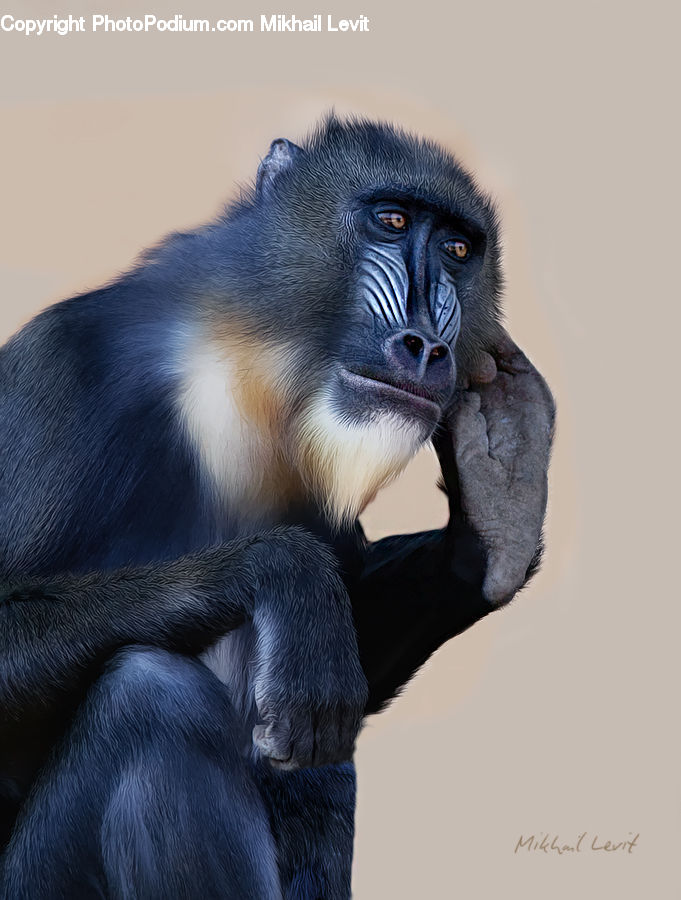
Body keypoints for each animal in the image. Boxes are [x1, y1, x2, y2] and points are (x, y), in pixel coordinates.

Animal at [0, 116, 555, 899]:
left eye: (455, 250)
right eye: (391, 222)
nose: (425, 345)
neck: (241, 370)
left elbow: (353, 666)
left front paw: (500, 494)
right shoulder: (58, 370)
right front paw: (287, 574)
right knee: (152, 698)